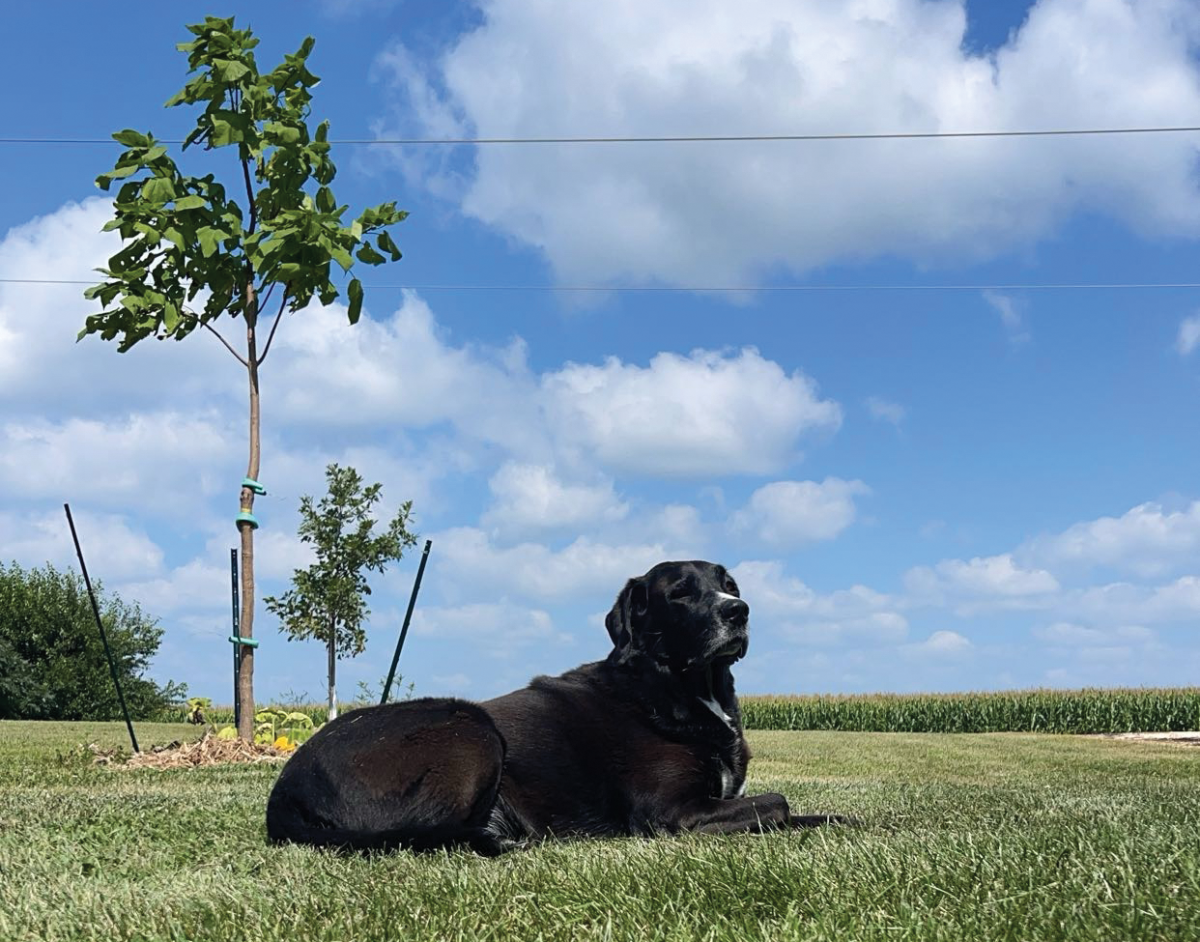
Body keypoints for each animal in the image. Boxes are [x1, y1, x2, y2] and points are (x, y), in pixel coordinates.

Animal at [265, 559, 844, 854]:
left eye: (730, 584)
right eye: (680, 592)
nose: (739, 611)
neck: (676, 687)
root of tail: (284, 790)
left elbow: (812, 813)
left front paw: (853, 822)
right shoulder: (673, 814)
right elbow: (778, 803)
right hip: (472, 728)